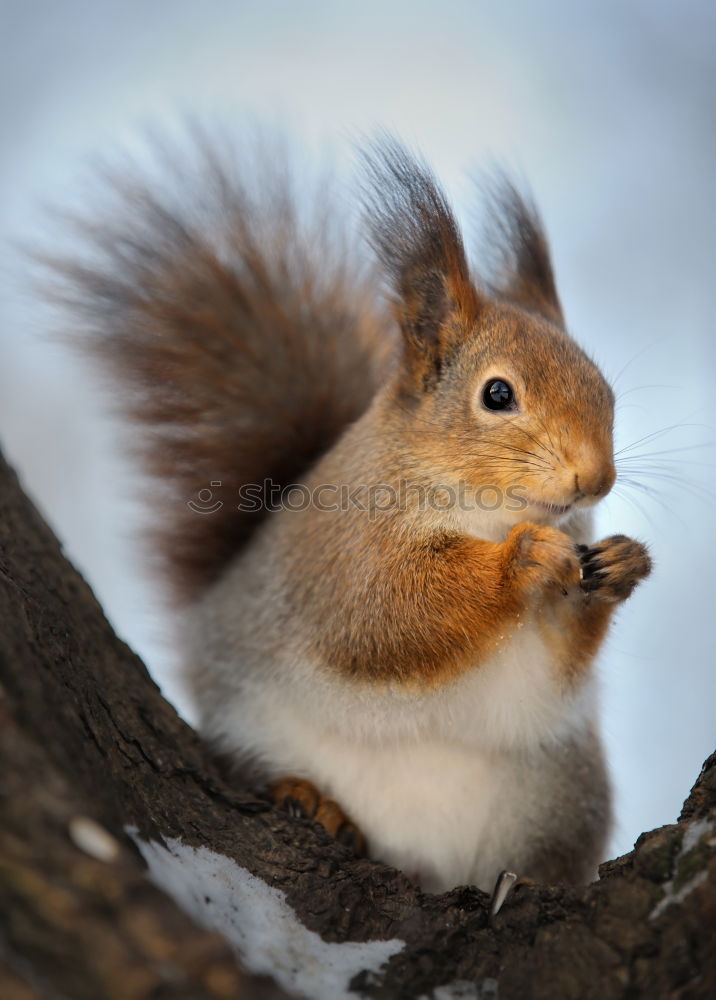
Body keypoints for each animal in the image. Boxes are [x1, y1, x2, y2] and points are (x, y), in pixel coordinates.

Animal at [58, 133, 652, 892]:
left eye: (604, 387)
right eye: (497, 394)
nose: (595, 478)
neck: (483, 511)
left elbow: (551, 668)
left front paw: (621, 565)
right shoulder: (344, 551)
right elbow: (386, 611)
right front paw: (521, 560)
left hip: (558, 795)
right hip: (252, 727)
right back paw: (309, 798)